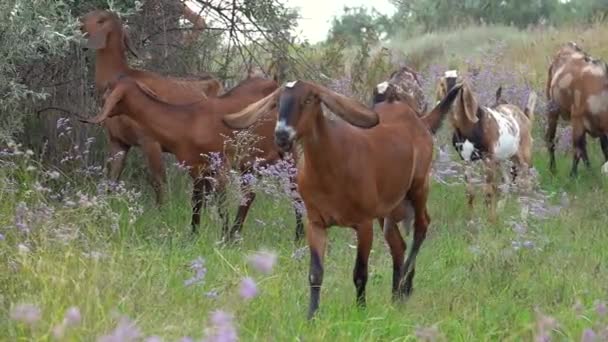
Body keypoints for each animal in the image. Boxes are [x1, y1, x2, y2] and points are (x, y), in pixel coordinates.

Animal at [79, 9, 223, 204]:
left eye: (100, 19)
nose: (80, 20)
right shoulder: (118, 141)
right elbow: (111, 181)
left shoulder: (150, 141)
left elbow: (159, 183)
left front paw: (165, 209)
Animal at [82, 74, 304, 242]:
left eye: (109, 95)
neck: (188, 122)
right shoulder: (196, 168)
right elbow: (197, 203)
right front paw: (194, 236)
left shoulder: (220, 166)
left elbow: (221, 203)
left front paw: (222, 239)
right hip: (249, 163)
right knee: (248, 196)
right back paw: (236, 234)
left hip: (288, 157)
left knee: (296, 195)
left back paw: (298, 237)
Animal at [222, 79, 460, 318]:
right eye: (278, 102)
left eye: (308, 99)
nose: (282, 135)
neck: (332, 168)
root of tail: (420, 121)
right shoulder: (316, 223)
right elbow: (315, 273)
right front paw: (311, 316)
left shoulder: (363, 223)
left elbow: (360, 273)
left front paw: (361, 310)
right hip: (387, 208)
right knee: (398, 244)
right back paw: (396, 297)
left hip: (418, 187)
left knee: (422, 226)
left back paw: (404, 286)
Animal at [436, 71, 536, 222]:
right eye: (442, 84)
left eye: (459, 87)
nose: (448, 102)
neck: (470, 127)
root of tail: (525, 116)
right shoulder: (466, 160)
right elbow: (470, 192)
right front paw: (471, 220)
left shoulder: (487, 158)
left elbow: (488, 192)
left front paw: (490, 220)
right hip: (501, 159)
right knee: (507, 182)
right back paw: (500, 212)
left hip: (523, 158)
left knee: (526, 187)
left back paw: (522, 220)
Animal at [544, 42, 608, 176]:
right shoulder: (577, 118)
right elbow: (577, 150)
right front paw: (572, 176)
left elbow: (604, 150)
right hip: (552, 107)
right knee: (550, 139)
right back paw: (553, 169)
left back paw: (589, 170)